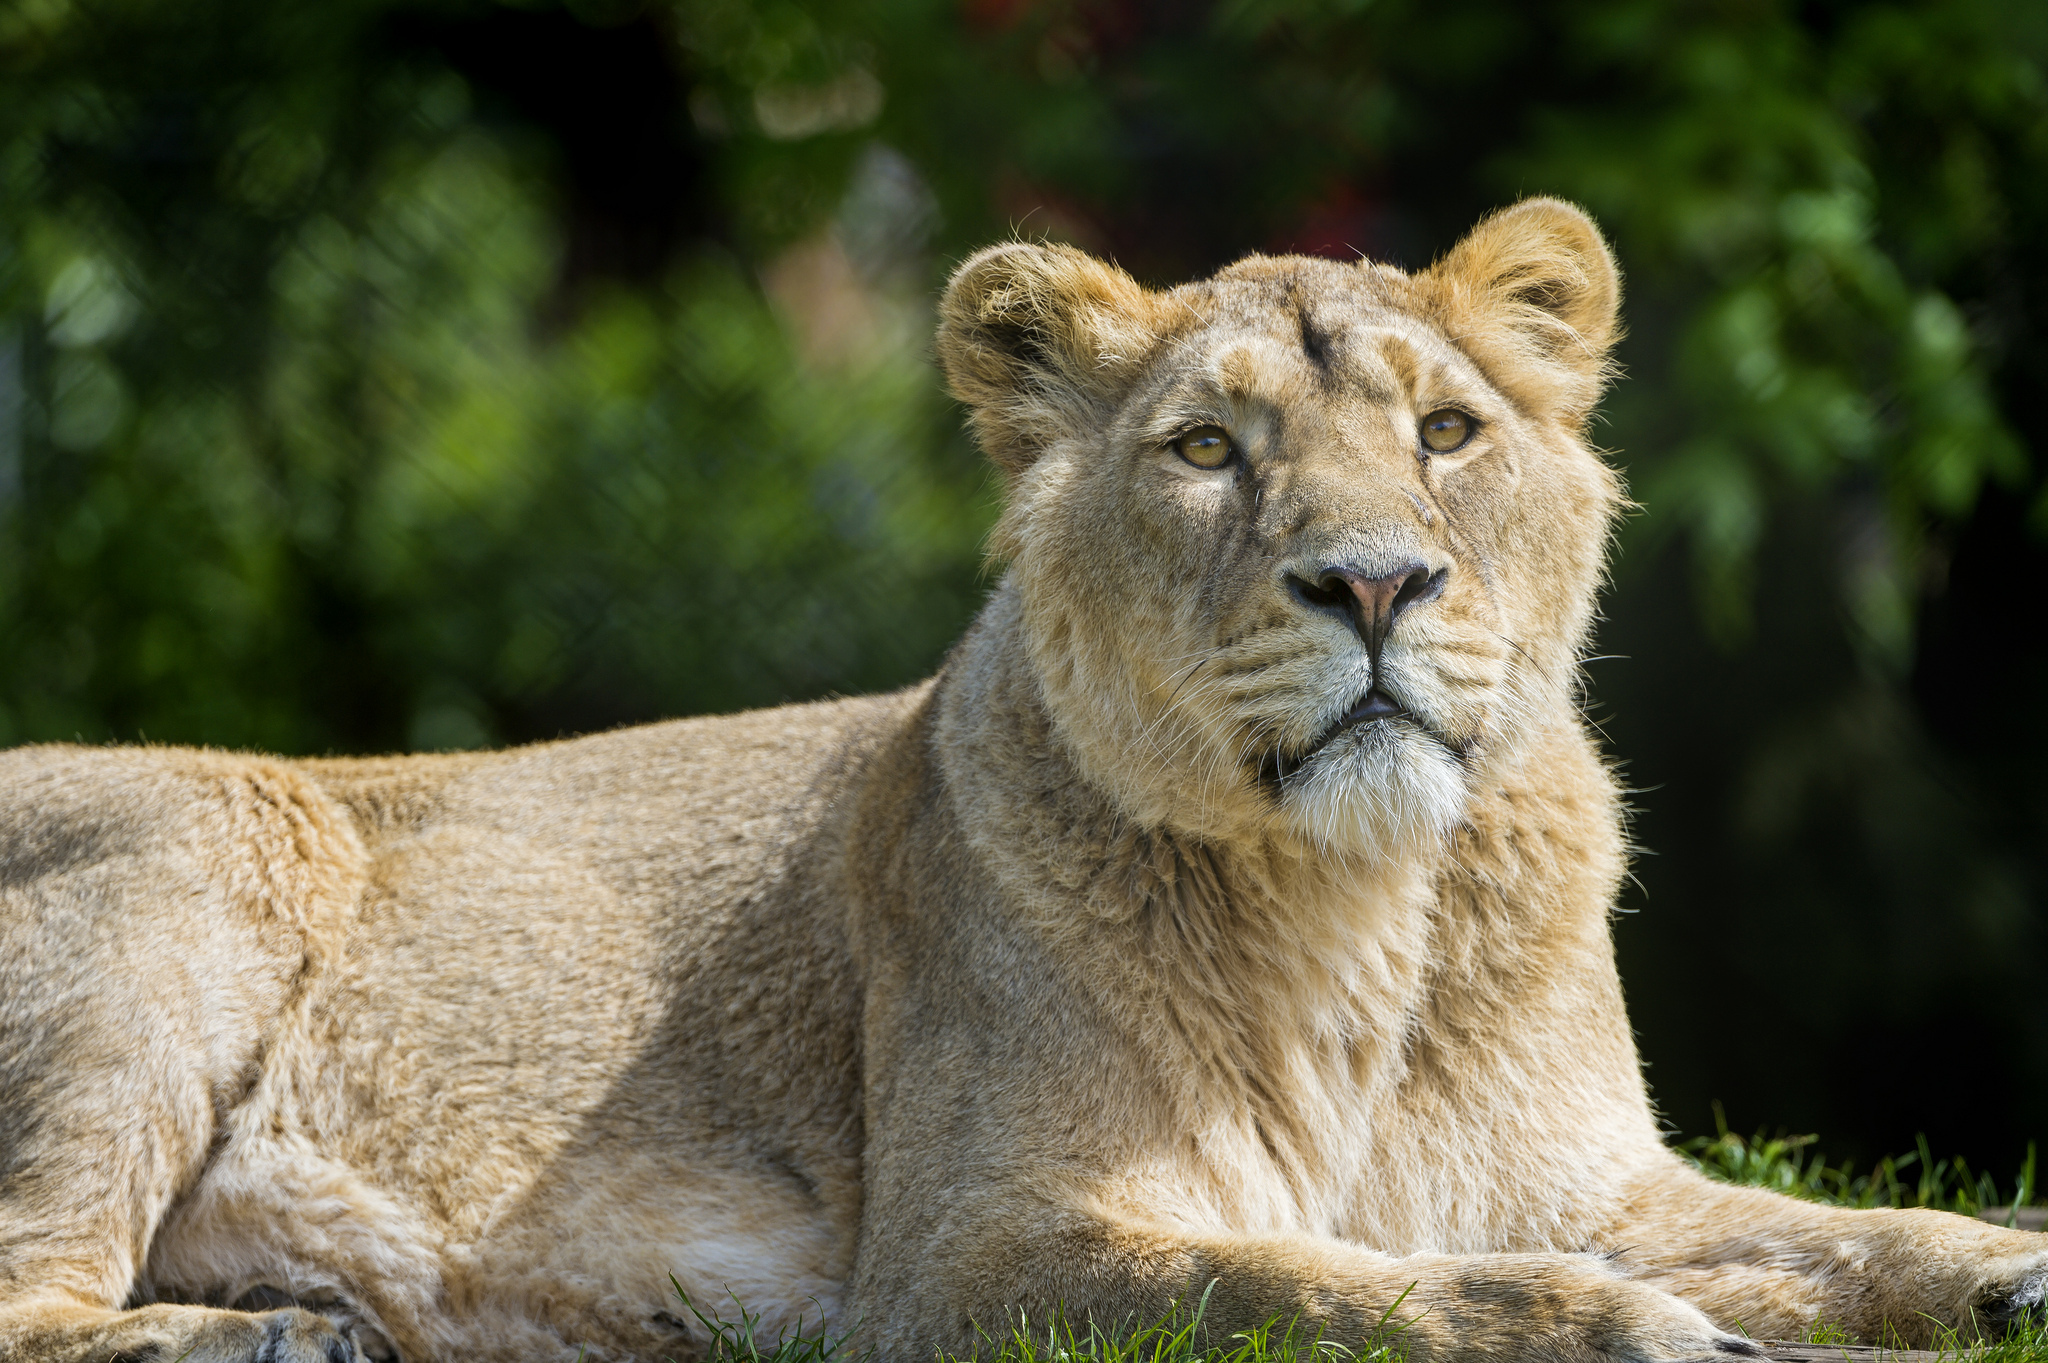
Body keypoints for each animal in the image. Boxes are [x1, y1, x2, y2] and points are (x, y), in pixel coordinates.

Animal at [4, 193, 2048, 1358]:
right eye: (1209, 449)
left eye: (1448, 430)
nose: (1375, 580)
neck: (1366, 897)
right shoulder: (962, 1252)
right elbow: (1299, 1282)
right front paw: (1605, 1323)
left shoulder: (1591, 1173)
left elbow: (1821, 1231)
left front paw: (1997, 1265)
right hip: (210, 838)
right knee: (32, 1289)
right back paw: (259, 1339)